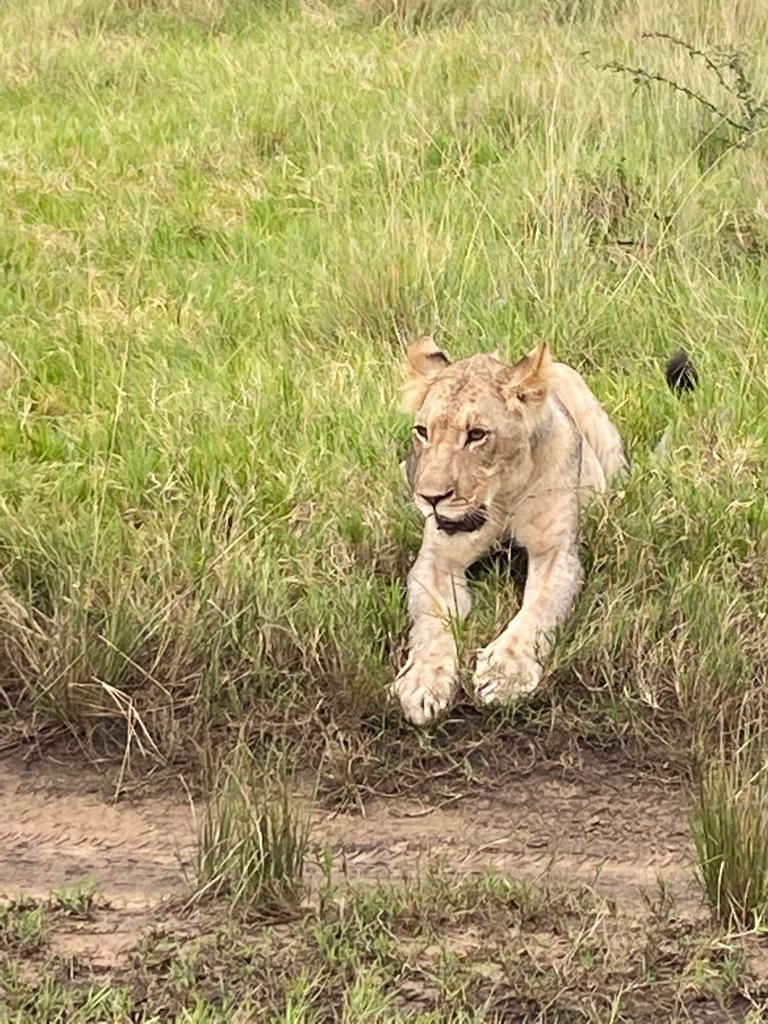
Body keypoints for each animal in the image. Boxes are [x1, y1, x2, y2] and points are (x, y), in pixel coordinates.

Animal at [391, 339, 696, 724]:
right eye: (423, 432)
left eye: (477, 435)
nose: (430, 498)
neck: (502, 497)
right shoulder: (437, 558)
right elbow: (430, 623)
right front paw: (422, 682)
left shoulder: (556, 553)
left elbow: (539, 612)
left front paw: (505, 673)